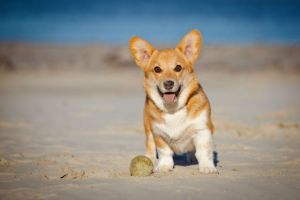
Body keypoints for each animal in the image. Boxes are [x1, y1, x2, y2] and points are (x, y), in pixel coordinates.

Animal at [129, 29, 218, 173]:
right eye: (157, 69)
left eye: (178, 68)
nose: (168, 83)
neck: (173, 110)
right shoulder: (158, 134)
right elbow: (165, 152)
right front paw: (164, 166)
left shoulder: (202, 130)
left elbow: (203, 151)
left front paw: (207, 167)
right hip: (147, 129)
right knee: (150, 145)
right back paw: (150, 158)